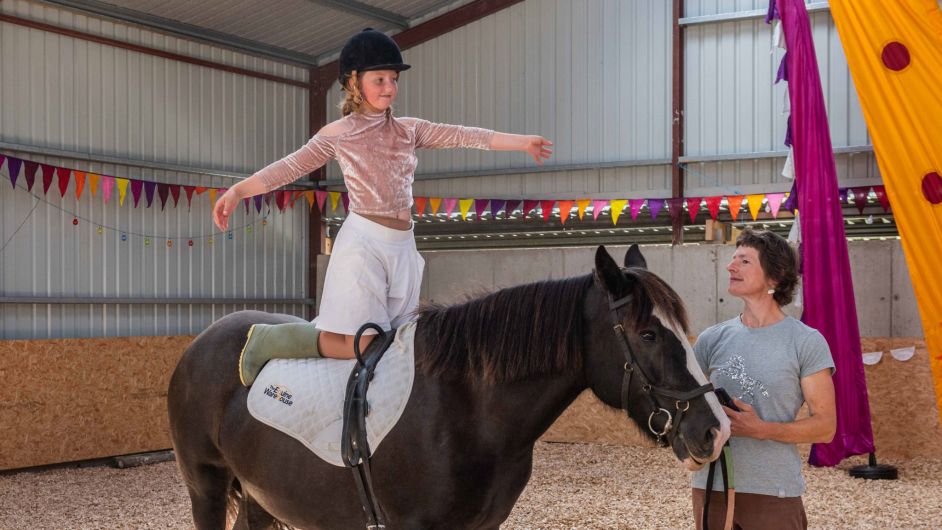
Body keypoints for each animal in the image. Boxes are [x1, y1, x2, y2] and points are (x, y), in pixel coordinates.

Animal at [168, 245, 732, 524]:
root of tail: (200, 346)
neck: (466, 409)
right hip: (206, 488)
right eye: (648, 333)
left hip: (261, 496)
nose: (716, 430)